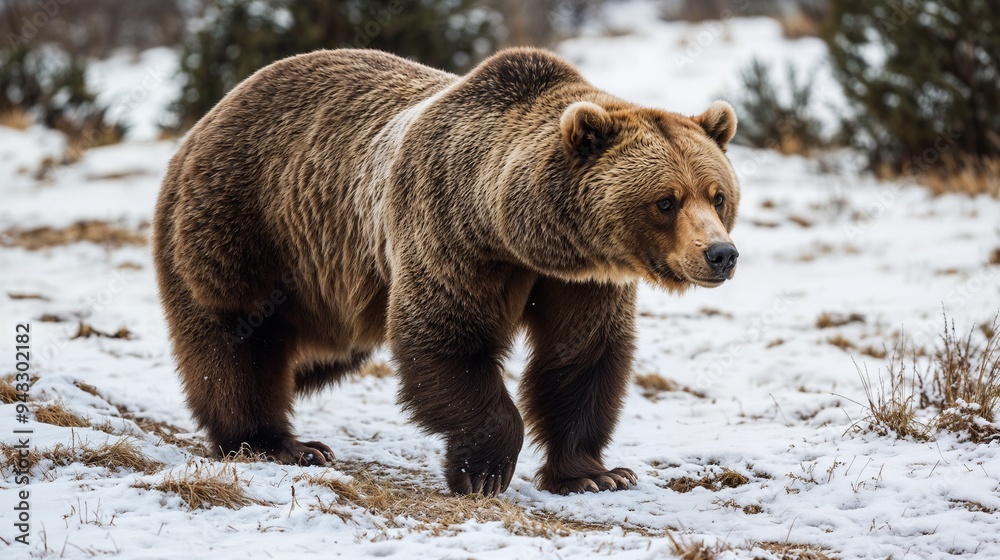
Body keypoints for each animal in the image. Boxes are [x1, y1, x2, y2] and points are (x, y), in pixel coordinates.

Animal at [152, 47, 740, 496]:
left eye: (717, 195)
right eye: (665, 201)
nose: (720, 254)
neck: (522, 236)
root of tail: (206, 120)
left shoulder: (582, 281)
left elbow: (582, 357)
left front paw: (596, 474)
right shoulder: (451, 236)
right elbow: (445, 340)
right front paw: (482, 472)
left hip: (326, 287)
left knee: (319, 349)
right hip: (246, 229)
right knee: (239, 339)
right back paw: (279, 443)